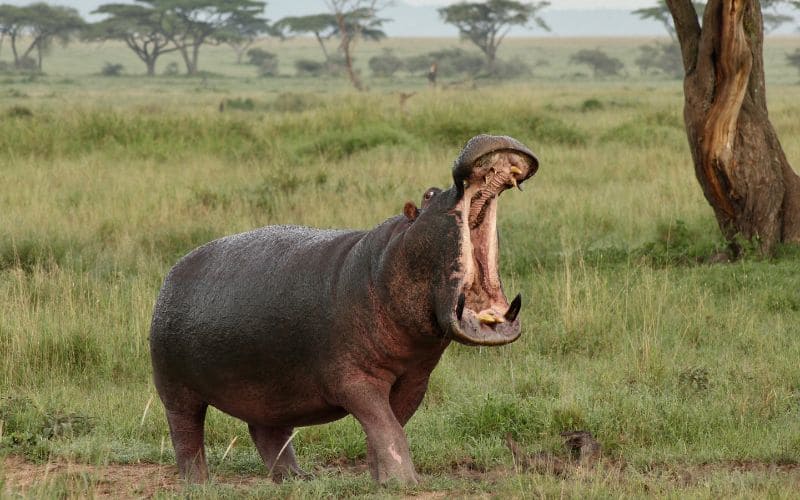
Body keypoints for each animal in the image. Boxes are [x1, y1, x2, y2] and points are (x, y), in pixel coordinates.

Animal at [149, 134, 539, 485]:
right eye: (429, 194)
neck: (384, 266)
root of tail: (171, 274)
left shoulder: (415, 378)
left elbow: (388, 425)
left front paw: (382, 480)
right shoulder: (353, 379)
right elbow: (385, 425)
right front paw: (405, 483)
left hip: (269, 388)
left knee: (269, 433)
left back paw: (297, 480)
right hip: (176, 390)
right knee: (187, 434)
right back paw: (199, 483)